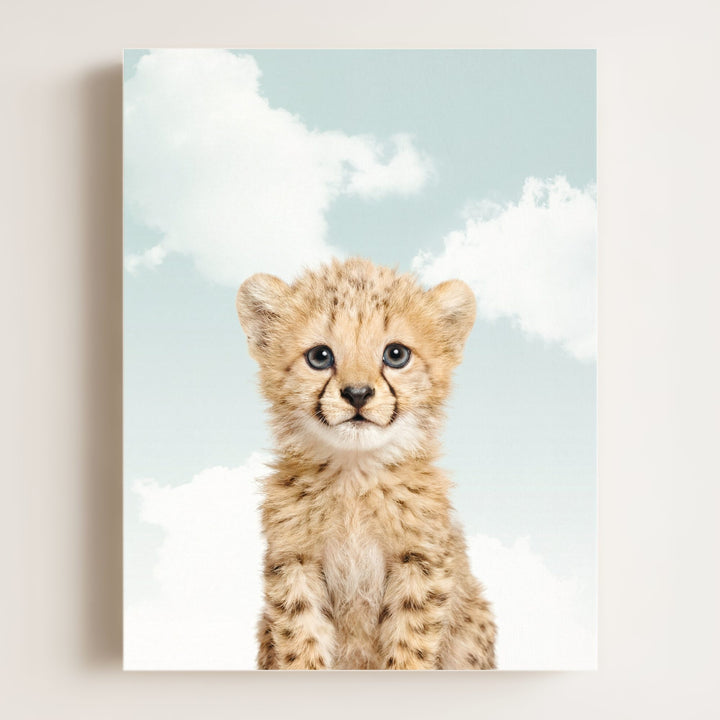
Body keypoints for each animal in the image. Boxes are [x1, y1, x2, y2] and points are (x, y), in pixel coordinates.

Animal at [236, 257, 496, 669]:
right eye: (320, 356)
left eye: (396, 355)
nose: (357, 394)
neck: (354, 475)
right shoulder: (295, 562)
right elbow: (301, 640)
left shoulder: (420, 562)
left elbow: (410, 644)